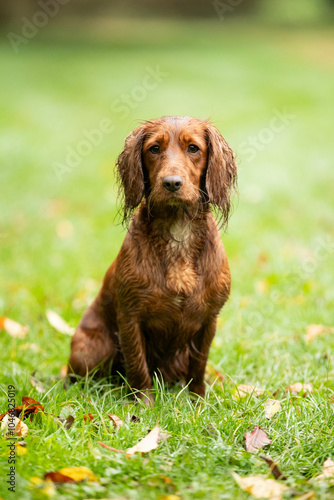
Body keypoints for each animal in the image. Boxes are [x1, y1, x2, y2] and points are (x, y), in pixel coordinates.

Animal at [67, 114, 237, 402]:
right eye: (154, 149)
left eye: (193, 148)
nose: (171, 183)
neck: (178, 231)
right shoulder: (130, 316)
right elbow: (137, 365)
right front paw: (143, 403)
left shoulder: (208, 319)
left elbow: (198, 365)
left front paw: (198, 401)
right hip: (90, 349)